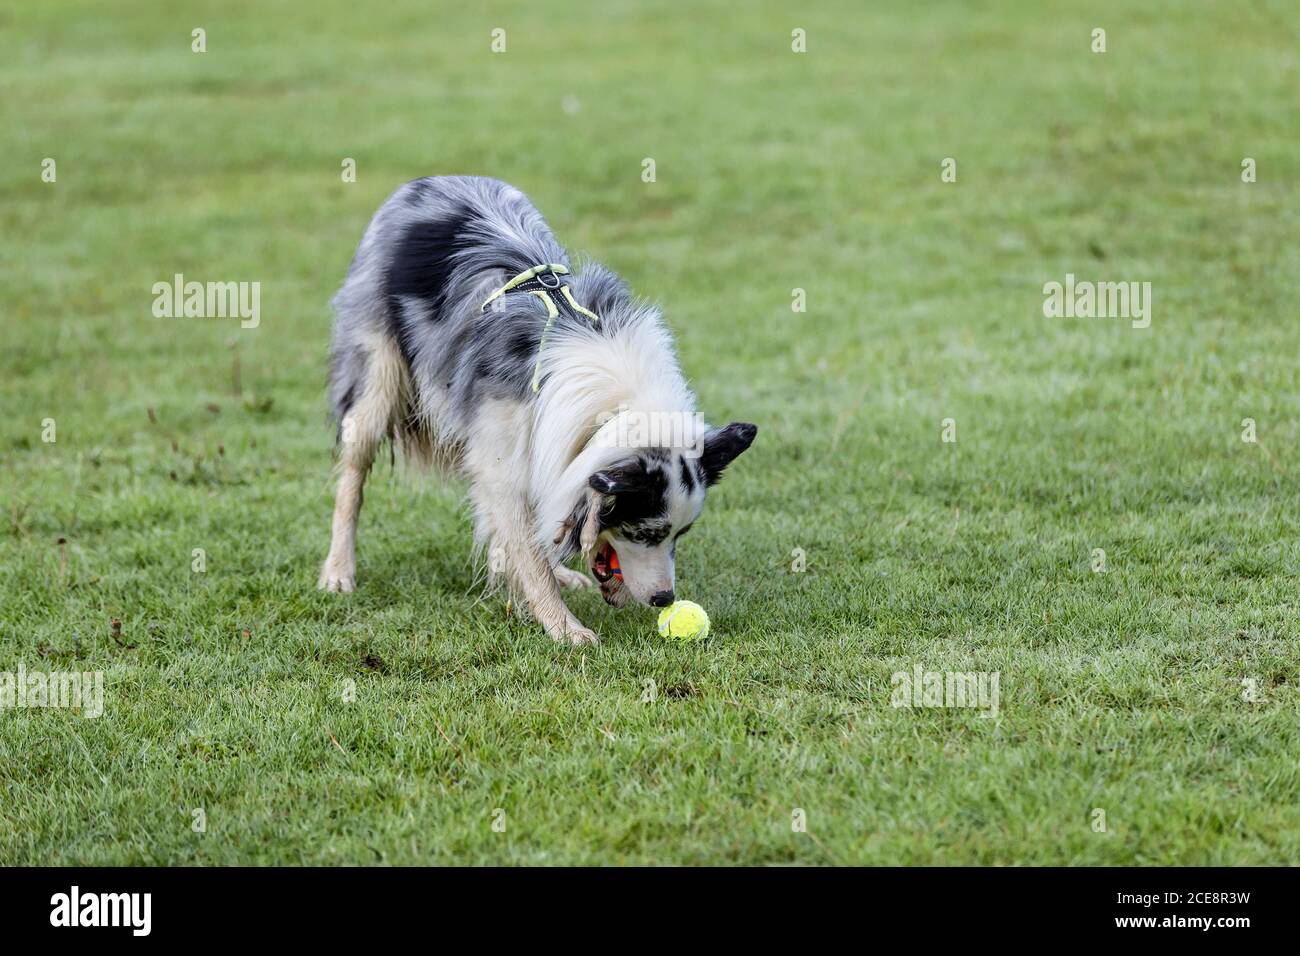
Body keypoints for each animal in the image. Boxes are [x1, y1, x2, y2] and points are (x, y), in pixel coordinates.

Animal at [318, 178, 759, 642]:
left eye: (681, 533)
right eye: (643, 532)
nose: (664, 600)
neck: (615, 406)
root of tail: (428, 181)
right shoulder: (501, 454)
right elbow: (528, 549)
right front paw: (564, 627)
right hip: (377, 380)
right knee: (352, 477)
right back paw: (338, 571)